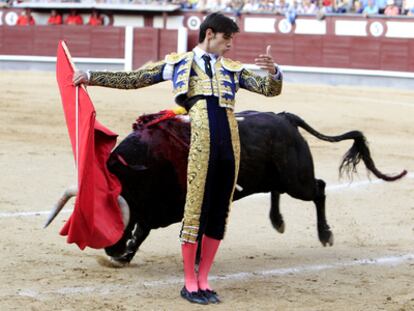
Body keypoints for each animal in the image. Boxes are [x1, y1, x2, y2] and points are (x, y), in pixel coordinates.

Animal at [102, 111, 404, 264]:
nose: (110, 250)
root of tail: (284, 117)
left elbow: (164, 230)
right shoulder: (153, 208)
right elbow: (142, 231)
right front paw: (126, 256)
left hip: (297, 181)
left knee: (319, 189)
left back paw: (325, 234)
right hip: (277, 176)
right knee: (278, 190)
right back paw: (278, 221)